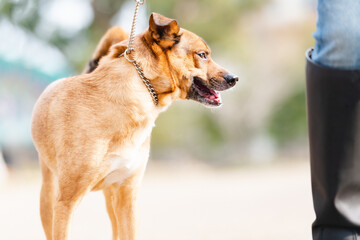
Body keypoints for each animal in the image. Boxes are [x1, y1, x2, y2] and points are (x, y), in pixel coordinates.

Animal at [31, 12, 239, 239]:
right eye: (202, 55)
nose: (235, 78)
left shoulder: (127, 197)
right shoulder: (66, 202)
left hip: (111, 198)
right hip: (49, 196)